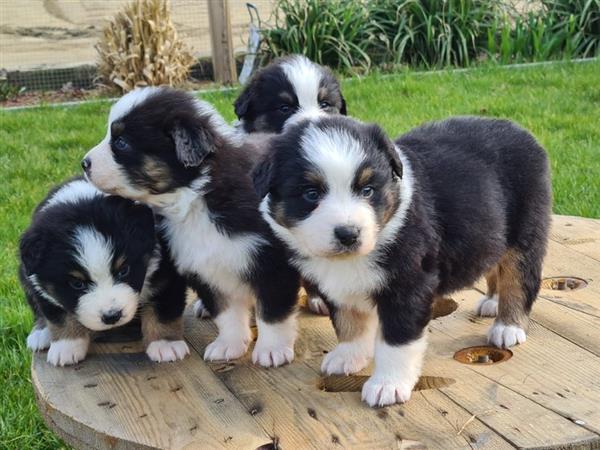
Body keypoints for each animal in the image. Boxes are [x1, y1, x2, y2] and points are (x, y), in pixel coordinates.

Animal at [21, 176, 190, 366]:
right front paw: (66, 346)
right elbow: (59, 315)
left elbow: (163, 309)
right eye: (77, 283)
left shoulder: (166, 274)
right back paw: (40, 334)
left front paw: (166, 345)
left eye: (124, 270)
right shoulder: (41, 284)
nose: (112, 316)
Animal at [81, 87, 300, 366]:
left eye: (121, 142)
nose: (84, 163)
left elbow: (272, 313)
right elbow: (226, 313)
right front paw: (228, 345)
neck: (196, 197)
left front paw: (272, 350)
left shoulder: (272, 264)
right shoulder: (202, 267)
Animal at [255, 114, 552, 406]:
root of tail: (518, 128)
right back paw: (492, 301)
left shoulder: (409, 283)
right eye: (311, 194)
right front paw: (348, 356)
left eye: (367, 190)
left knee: (518, 279)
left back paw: (507, 326)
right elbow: (349, 322)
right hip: (490, 231)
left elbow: (396, 341)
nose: (348, 234)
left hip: (525, 231)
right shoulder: (337, 286)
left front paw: (387, 385)